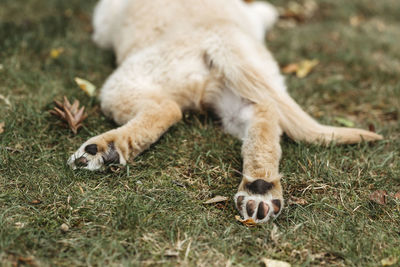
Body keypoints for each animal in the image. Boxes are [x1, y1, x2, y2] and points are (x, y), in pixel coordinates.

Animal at [68, 0, 382, 225]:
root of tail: (222, 38)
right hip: (242, 100)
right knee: (266, 119)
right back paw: (260, 191)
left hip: (127, 80)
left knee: (167, 109)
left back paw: (103, 150)